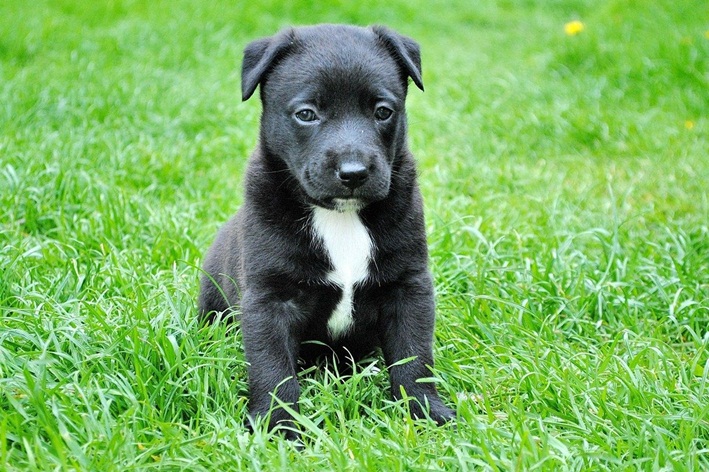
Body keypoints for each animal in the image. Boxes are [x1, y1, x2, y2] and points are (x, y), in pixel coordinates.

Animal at [198, 23, 454, 438]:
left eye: (383, 112)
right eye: (307, 114)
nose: (353, 172)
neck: (340, 216)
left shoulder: (408, 286)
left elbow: (414, 356)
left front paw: (425, 411)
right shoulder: (270, 299)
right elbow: (273, 370)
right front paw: (279, 428)